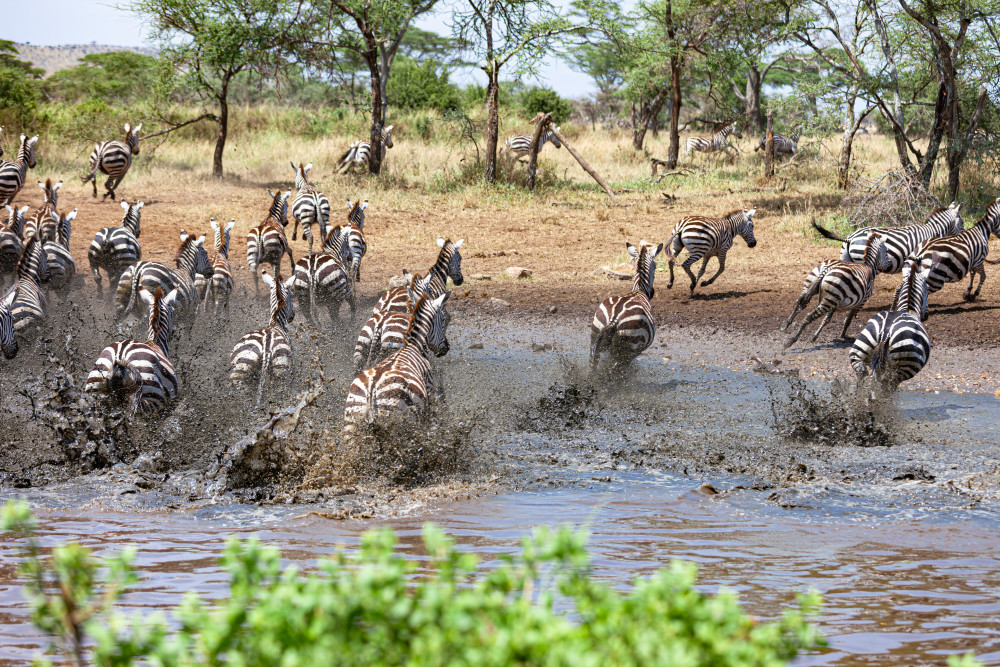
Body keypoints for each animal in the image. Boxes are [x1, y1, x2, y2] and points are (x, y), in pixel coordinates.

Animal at [85, 286, 180, 417]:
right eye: (173, 312)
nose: (174, 332)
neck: (155, 342)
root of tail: (119, 356)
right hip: (149, 398)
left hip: (96, 392)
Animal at [230, 269, 295, 406]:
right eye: (292, 294)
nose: (293, 316)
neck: (275, 323)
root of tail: (266, 347)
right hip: (282, 374)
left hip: (241, 373)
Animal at [590, 241, 664, 375]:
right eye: (655, 266)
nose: (652, 293)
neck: (639, 290)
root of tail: (614, 319)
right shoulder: (635, 353)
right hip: (627, 348)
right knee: (613, 373)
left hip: (594, 338)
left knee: (593, 368)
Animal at [849, 254, 940, 393]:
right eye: (926, 290)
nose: (926, 316)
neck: (907, 309)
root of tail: (885, 333)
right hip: (902, 368)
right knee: (886, 388)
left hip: (858, 353)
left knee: (862, 377)